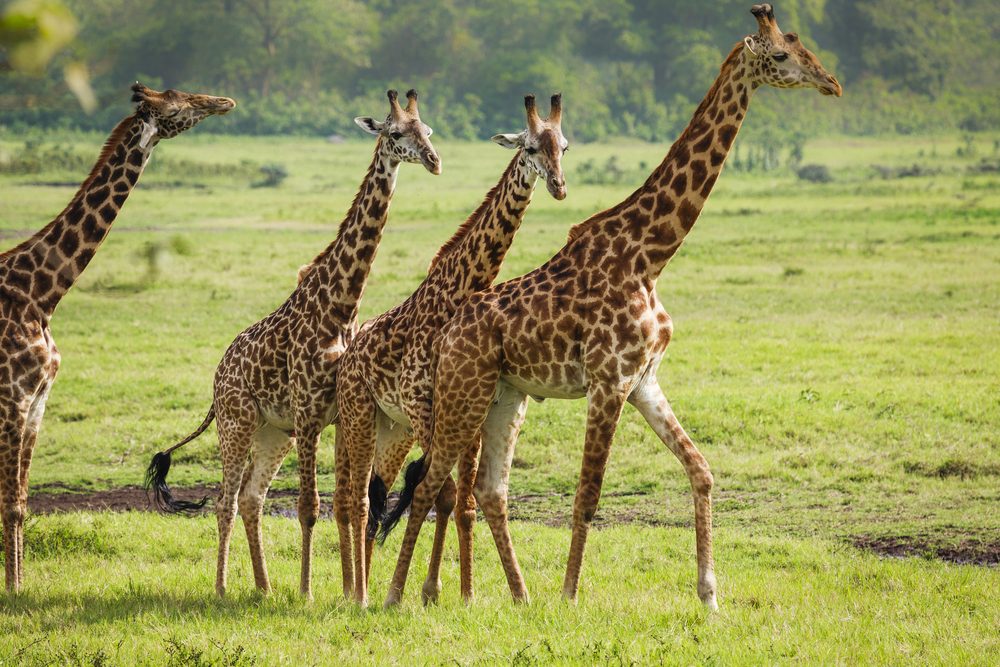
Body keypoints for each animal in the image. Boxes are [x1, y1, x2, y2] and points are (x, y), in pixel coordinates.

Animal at [0, 83, 235, 593]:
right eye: (179, 102)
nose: (223, 101)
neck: (42, 294)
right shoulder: (12, 398)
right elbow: (8, 502)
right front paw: (11, 589)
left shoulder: (37, 402)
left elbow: (20, 503)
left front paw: (19, 587)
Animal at [145, 89, 440, 600]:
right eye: (396, 132)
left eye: (427, 131)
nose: (434, 160)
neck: (341, 308)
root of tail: (217, 378)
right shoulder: (307, 412)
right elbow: (309, 505)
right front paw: (307, 592)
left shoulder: (336, 413)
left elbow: (346, 499)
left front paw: (347, 589)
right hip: (238, 423)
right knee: (224, 501)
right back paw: (223, 587)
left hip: (272, 432)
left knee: (250, 497)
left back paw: (263, 587)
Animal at [335, 94, 568, 607]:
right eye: (529, 148)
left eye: (563, 146)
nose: (559, 186)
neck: (459, 291)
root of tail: (349, 354)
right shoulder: (425, 407)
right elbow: (440, 492)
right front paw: (424, 590)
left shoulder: (470, 416)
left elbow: (463, 502)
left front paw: (459, 592)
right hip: (360, 418)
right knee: (352, 496)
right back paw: (355, 592)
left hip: (393, 430)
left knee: (376, 493)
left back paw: (364, 583)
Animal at [379, 4, 841, 609]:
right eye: (784, 54)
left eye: (804, 43)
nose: (832, 83)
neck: (650, 255)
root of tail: (445, 331)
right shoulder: (608, 381)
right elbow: (588, 495)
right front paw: (571, 596)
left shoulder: (643, 379)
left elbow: (701, 470)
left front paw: (709, 597)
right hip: (464, 393)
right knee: (434, 484)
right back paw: (398, 596)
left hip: (505, 397)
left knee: (485, 489)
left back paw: (511, 595)